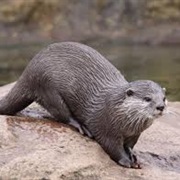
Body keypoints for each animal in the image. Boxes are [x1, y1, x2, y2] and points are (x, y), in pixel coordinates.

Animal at [0, 41, 166, 168]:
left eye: (163, 98)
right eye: (147, 98)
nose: (161, 107)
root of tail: (28, 71)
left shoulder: (135, 134)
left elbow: (130, 146)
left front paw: (133, 156)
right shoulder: (106, 128)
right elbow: (112, 147)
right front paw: (125, 161)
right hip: (47, 87)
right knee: (62, 114)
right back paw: (81, 126)